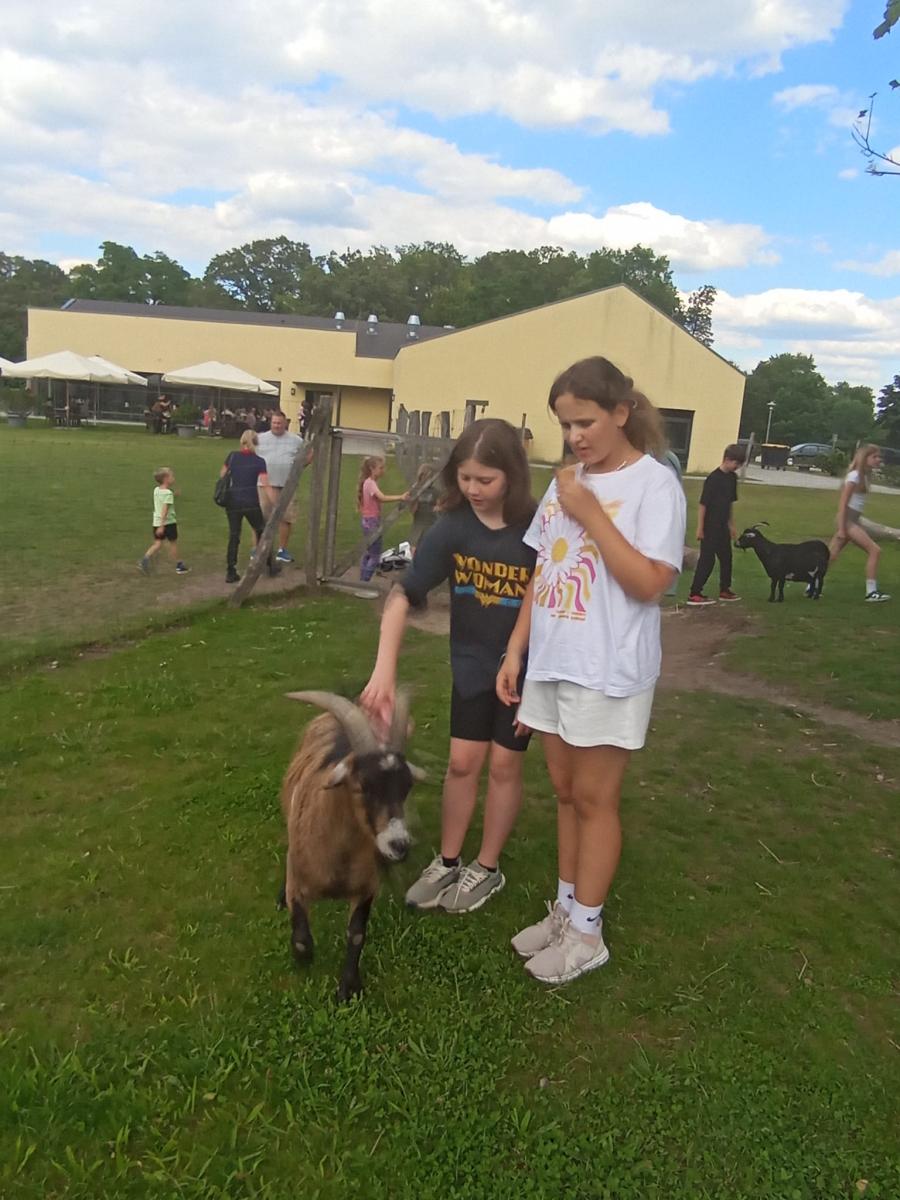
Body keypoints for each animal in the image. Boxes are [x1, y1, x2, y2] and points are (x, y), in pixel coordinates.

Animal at [279, 690, 424, 1002]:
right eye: (362, 786)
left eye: (407, 786)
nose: (399, 845)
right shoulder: (298, 880)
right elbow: (302, 940)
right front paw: (304, 959)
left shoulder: (367, 886)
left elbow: (356, 934)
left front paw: (348, 987)